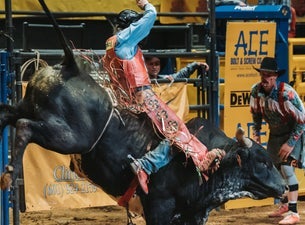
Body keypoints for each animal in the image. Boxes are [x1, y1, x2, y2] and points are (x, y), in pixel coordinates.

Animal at [0, 0, 284, 224]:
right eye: (262, 161)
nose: (282, 186)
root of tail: (71, 66)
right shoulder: (159, 207)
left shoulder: (193, 214)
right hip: (69, 136)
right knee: (25, 126)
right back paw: (10, 172)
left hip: (31, 107)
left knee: (8, 114)